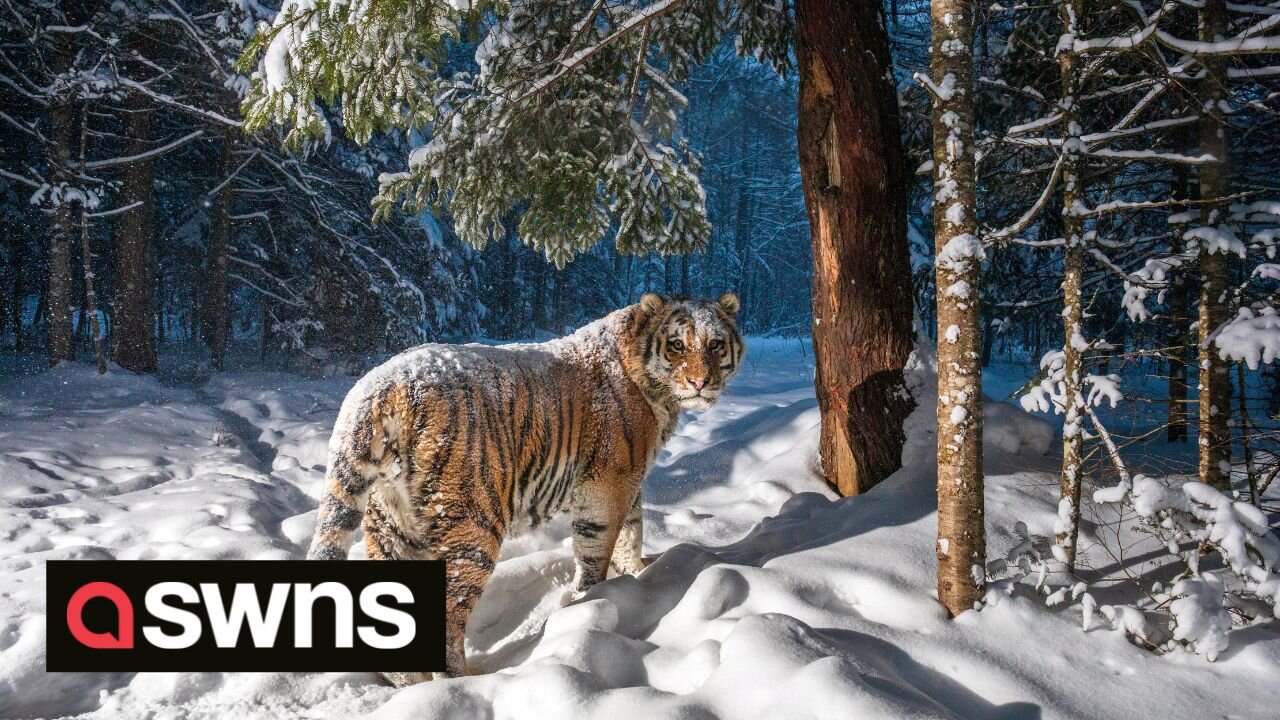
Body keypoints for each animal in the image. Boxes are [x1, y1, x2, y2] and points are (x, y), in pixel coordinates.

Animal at [305, 289, 747, 676]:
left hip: (392, 522)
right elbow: (599, 547)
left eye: (714, 345)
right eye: (676, 345)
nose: (699, 383)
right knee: (449, 615)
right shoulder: (609, 481)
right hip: (473, 523)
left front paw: (638, 575)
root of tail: (378, 387)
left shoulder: (630, 480)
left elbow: (632, 532)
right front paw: (592, 601)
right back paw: (467, 681)